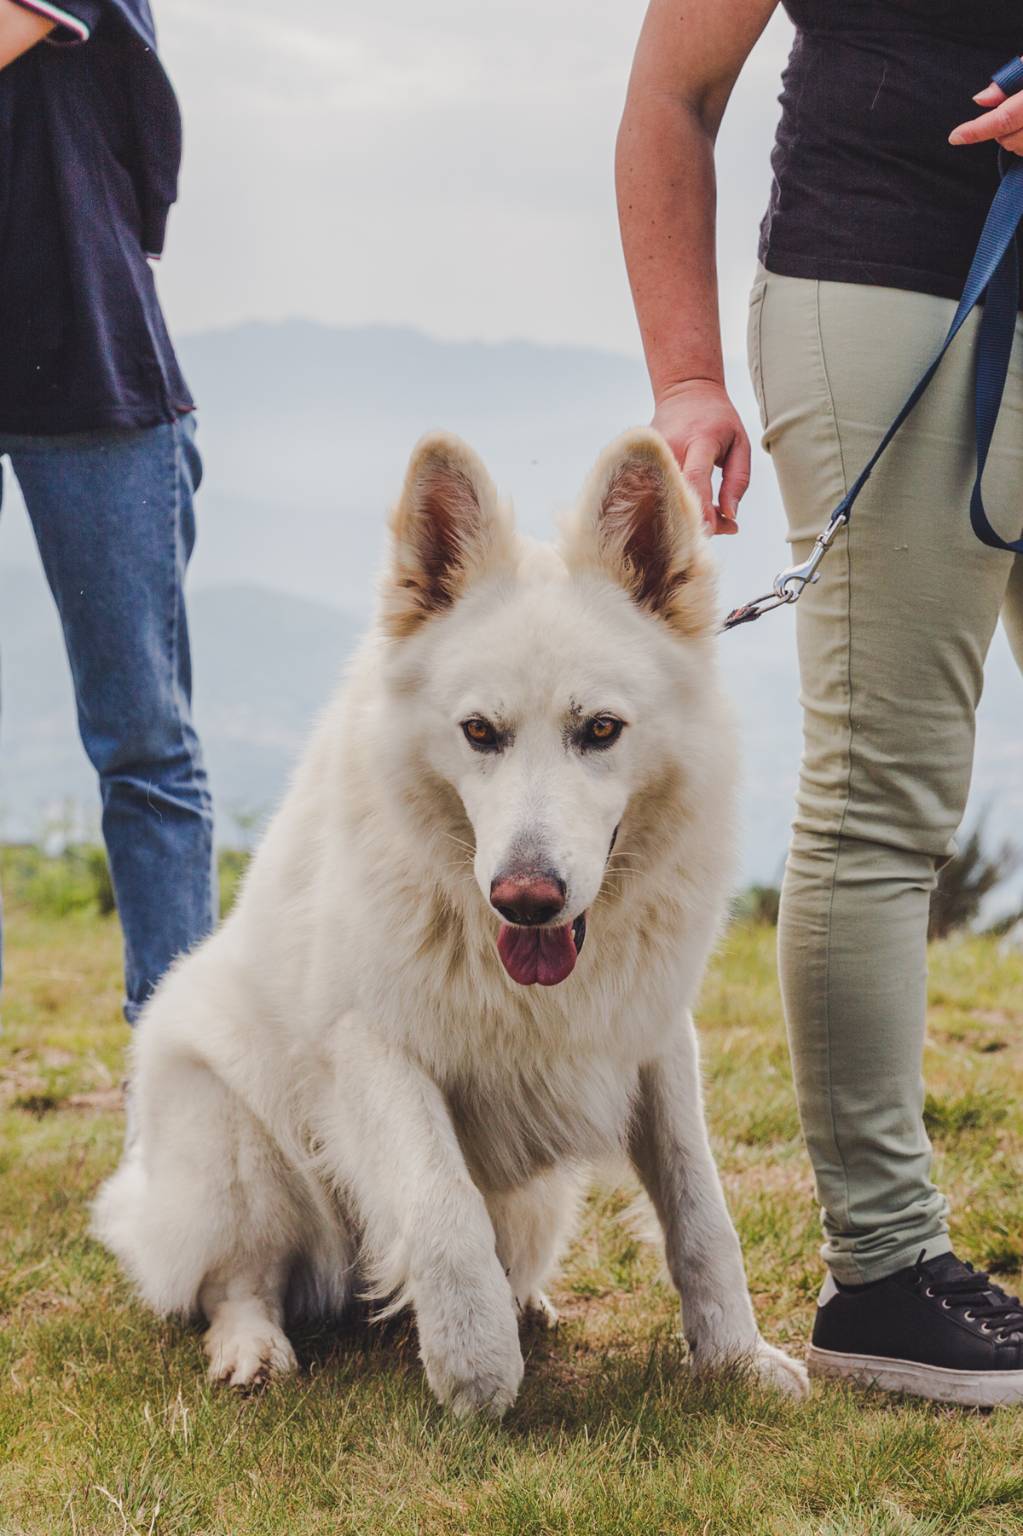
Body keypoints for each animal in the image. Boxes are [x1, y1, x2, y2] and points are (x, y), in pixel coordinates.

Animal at [97, 430, 811, 1413]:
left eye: (600, 730)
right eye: (479, 732)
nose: (526, 898)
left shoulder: (655, 1042)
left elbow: (700, 1212)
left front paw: (736, 1357)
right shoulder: (377, 1048)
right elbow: (442, 1208)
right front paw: (475, 1370)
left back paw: (526, 1303)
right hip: (231, 1137)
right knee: (237, 1279)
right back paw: (254, 1346)